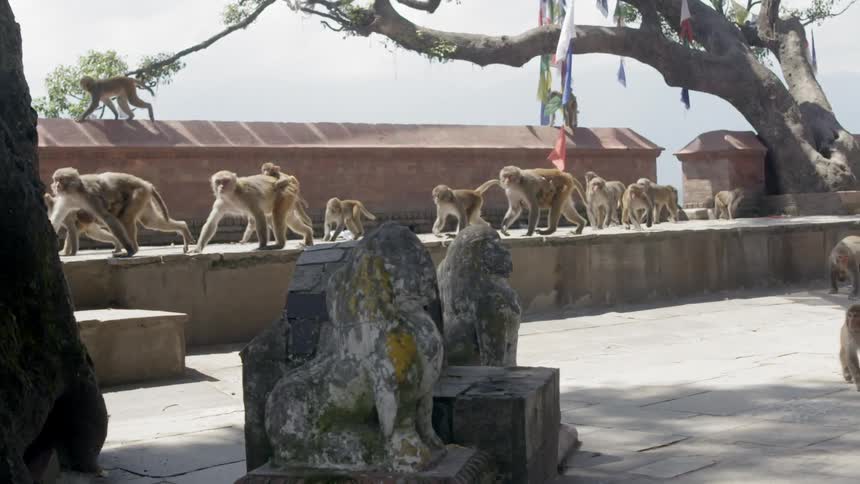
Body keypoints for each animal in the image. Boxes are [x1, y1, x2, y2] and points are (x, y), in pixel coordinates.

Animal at [49, 168, 194, 257]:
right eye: (55, 180)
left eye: (60, 180)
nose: (55, 186)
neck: (75, 192)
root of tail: (146, 183)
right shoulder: (65, 199)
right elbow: (57, 218)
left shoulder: (90, 196)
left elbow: (107, 218)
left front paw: (129, 249)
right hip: (144, 197)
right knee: (151, 222)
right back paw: (183, 227)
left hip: (139, 193)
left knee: (125, 218)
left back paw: (133, 250)